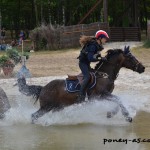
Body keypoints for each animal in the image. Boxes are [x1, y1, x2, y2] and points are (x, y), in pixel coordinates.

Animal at [17, 48, 145, 123]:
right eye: (131, 57)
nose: (142, 68)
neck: (105, 75)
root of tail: (43, 88)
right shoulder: (101, 95)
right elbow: (118, 100)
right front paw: (127, 116)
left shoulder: (106, 95)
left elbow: (118, 101)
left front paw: (110, 113)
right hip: (46, 107)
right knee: (33, 116)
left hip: (56, 107)